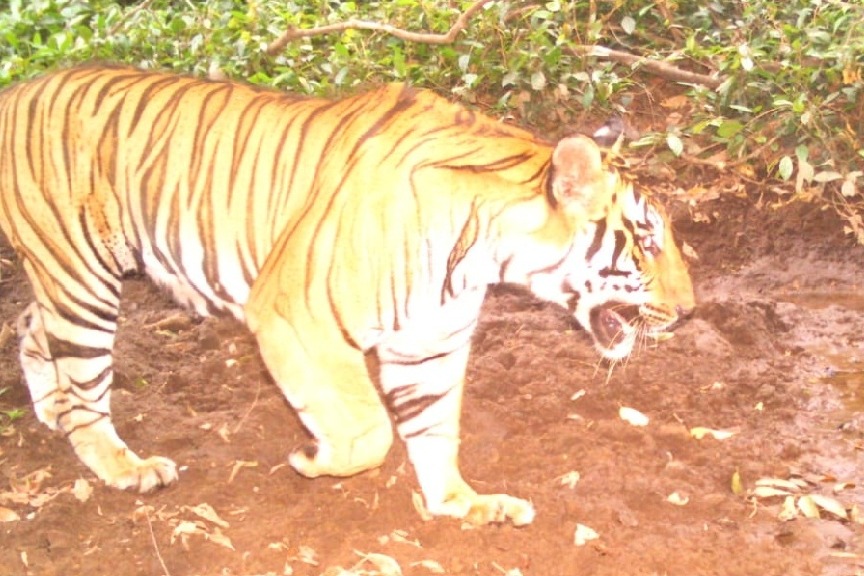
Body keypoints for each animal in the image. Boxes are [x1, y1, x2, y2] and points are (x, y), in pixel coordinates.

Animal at [0, 64, 694, 527]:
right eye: (647, 240)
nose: (690, 312)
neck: (483, 252)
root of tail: (19, 89)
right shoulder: (294, 317)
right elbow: (370, 430)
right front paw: (314, 459)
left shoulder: (429, 341)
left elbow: (435, 428)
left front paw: (461, 503)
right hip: (82, 276)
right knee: (84, 384)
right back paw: (126, 466)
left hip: (72, 275)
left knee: (31, 328)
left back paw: (53, 410)